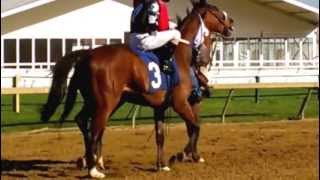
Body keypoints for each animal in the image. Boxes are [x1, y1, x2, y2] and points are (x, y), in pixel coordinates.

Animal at [42, 0, 232, 178]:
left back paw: (92, 161)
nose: (231, 24)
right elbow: (195, 126)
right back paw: (93, 169)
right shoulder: (181, 103)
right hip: (105, 104)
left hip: (97, 102)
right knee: (95, 130)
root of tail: (86, 55)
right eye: (216, 11)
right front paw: (181, 155)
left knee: (83, 121)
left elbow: (161, 136)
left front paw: (162, 165)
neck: (181, 56)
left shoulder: (160, 107)